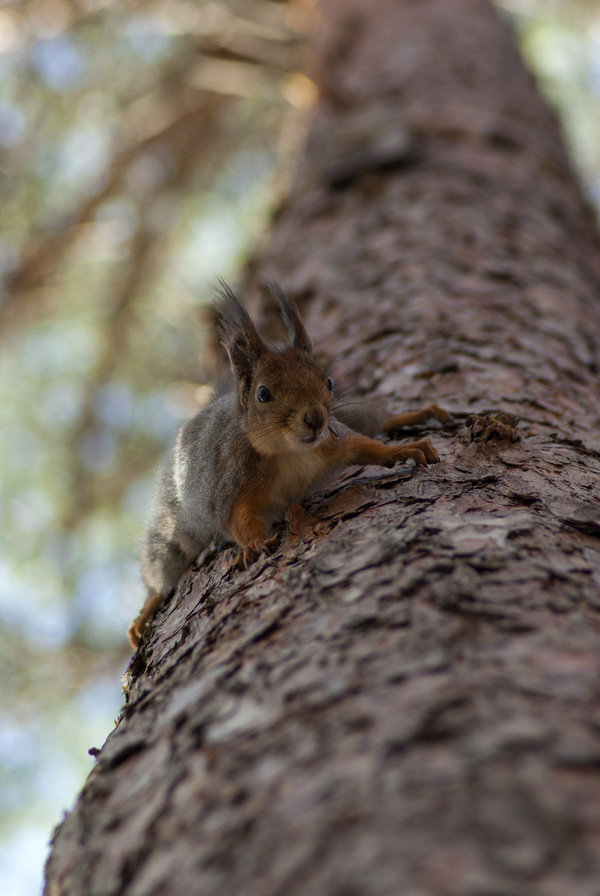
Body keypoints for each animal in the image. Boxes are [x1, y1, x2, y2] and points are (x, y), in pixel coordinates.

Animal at [127, 284, 450, 648]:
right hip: (173, 531)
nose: (315, 418)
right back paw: (146, 611)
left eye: (329, 381)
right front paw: (255, 545)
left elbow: (368, 448)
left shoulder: (335, 441)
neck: (291, 452)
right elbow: (239, 520)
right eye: (263, 394)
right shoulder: (232, 484)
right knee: (162, 567)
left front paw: (405, 448)